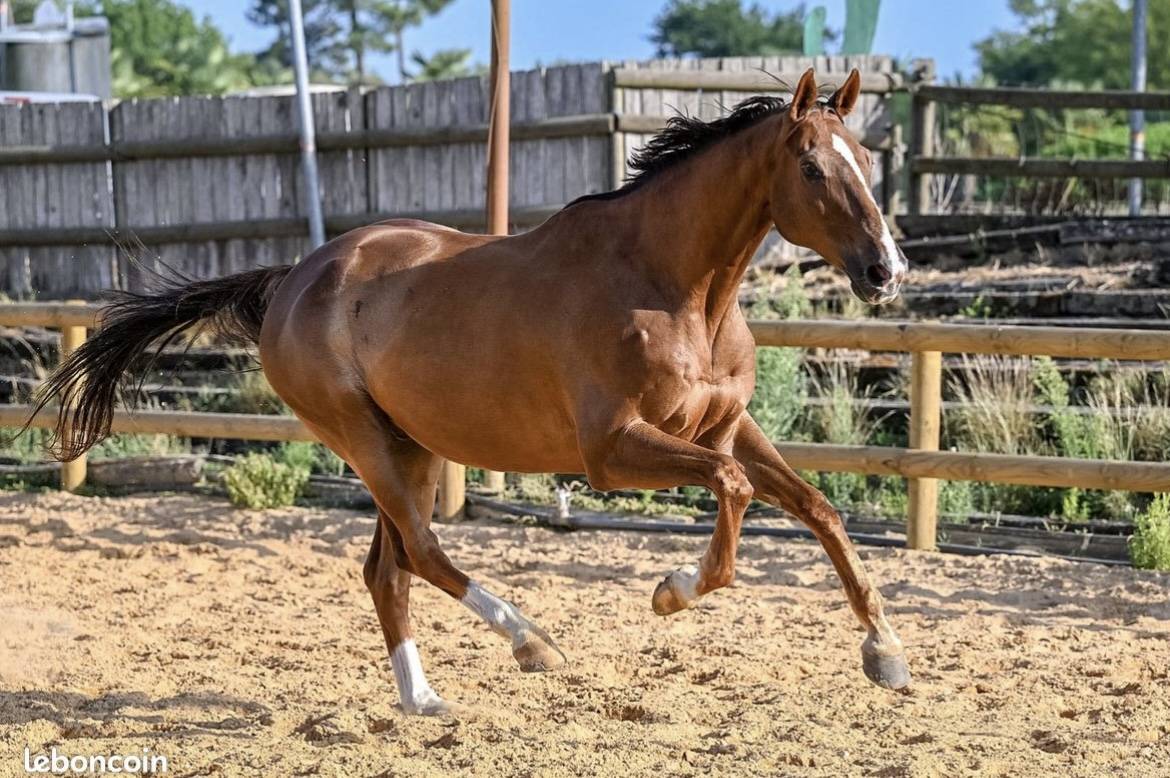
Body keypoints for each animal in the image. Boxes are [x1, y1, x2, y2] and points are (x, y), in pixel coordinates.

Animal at [31, 69, 910, 715]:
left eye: (867, 163)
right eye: (811, 166)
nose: (886, 271)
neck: (678, 289)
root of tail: (294, 278)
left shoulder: (726, 427)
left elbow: (816, 508)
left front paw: (886, 653)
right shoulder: (614, 451)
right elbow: (731, 494)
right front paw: (671, 592)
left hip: (409, 445)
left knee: (387, 570)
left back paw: (422, 699)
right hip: (364, 441)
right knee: (421, 551)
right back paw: (532, 642)